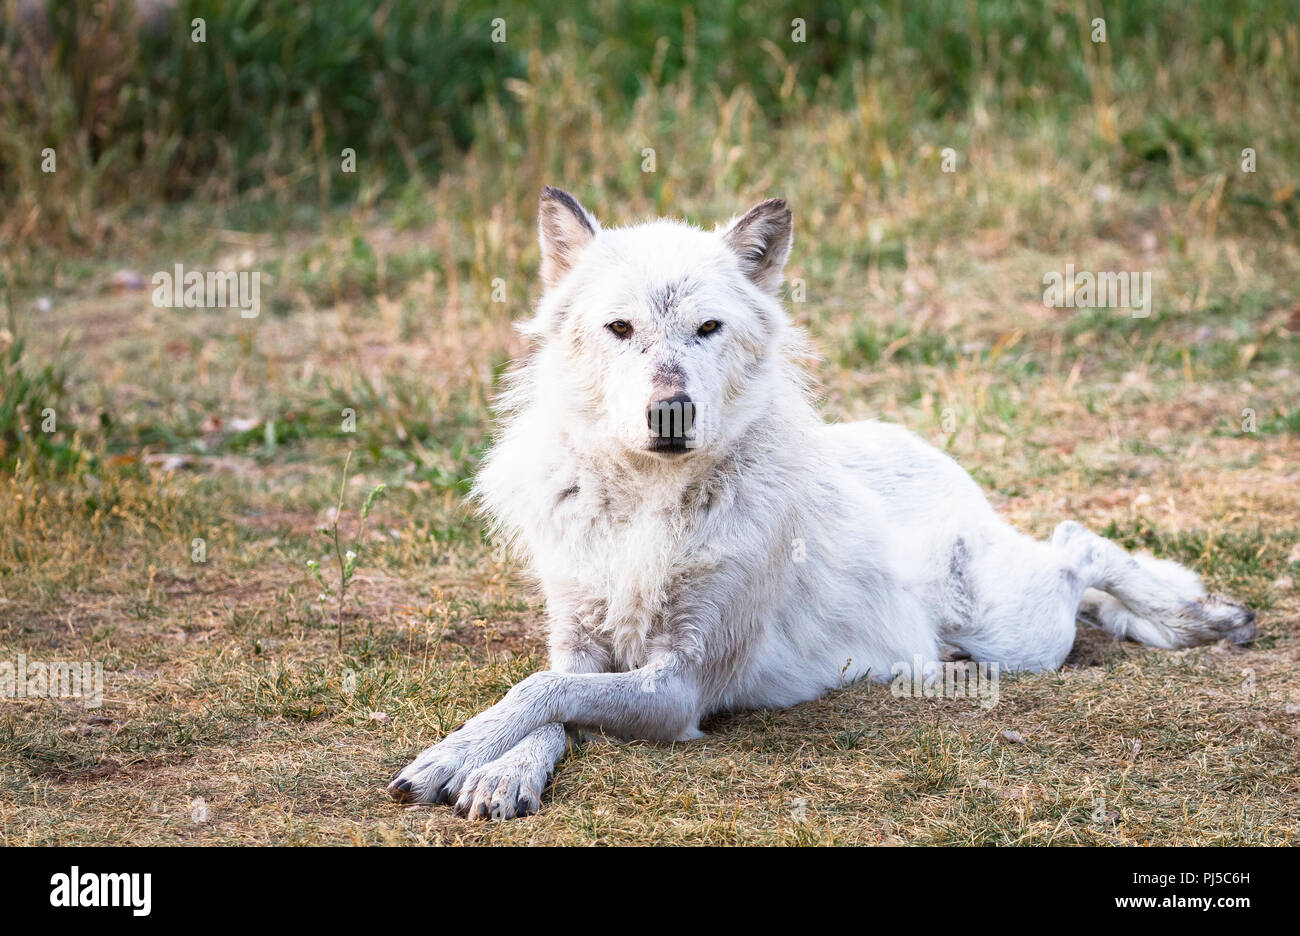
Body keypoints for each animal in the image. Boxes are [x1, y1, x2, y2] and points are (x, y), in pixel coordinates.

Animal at [389, 188, 1256, 819]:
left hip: (1017, 634)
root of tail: (930, 451)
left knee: (1077, 542)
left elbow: (541, 693)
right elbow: (545, 698)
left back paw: (1204, 617)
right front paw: (496, 770)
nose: (671, 411)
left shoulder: (680, 687)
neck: (645, 504)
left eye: (708, 328)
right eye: (620, 327)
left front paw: (450, 756)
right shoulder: (578, 639)